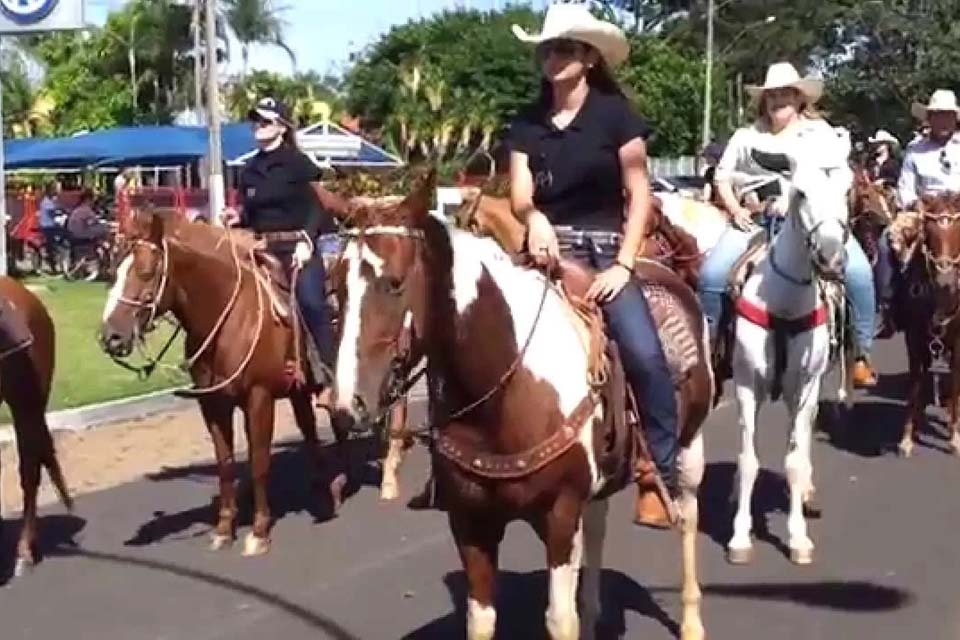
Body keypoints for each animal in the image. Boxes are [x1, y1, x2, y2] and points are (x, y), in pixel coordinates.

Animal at [99, 210, 358, 556]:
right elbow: (225, 464)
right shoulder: (213, 404)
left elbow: (259, 461)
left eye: (146, 271)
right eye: (113, 271)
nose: (111, 337)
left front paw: (259, 532)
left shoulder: (258, 398)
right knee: (309, 430)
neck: (229, 317)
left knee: (339, 423)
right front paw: (224, 529)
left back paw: (340, 482)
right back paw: (323, 485)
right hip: (297, 389)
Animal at [330, 175, 712, 640]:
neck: (501, 397)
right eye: (336, 286)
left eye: (395, 283)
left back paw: (692, 620)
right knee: (599, 525)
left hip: (689, 448)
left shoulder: (559, 516)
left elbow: (559, 620)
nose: (347, 404)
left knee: (688, 518)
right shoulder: (470, 523)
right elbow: (481, 618)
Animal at [728, 154, 848, 564]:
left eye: (848, 190)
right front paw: (740, 537)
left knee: (803, 436)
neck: (783, 306)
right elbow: (748, 460)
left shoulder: (806, 386)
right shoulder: (747, 386)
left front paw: (798, 538)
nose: (830, 259)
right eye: (801, 192)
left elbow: (794, 461)